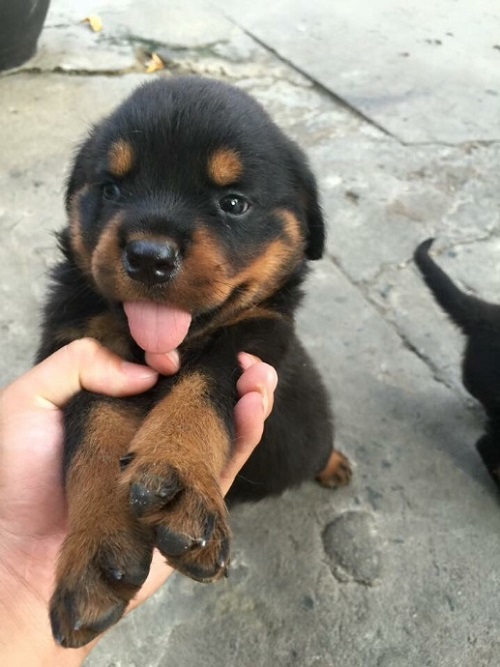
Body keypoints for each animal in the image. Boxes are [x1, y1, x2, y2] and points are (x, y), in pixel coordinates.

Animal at [36, 76, 352, 648]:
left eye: (233, 203)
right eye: (111, 189)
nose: (149, 257)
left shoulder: (254, 340)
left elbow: (202, 391)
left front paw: (179, 473)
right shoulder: (83, 350)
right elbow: (94, 435)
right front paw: (97, 547)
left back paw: (335, 464)